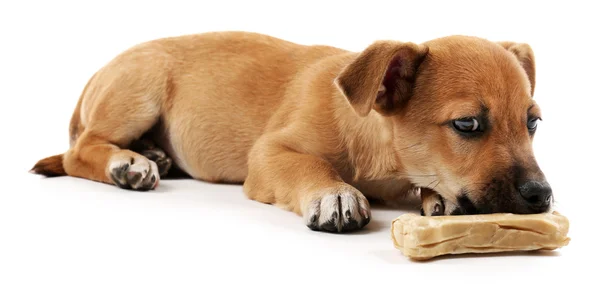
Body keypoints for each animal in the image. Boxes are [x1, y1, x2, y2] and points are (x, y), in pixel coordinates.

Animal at [30, 31, 552, 232]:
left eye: (532, 122)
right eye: (467, 125)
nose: (542, 196)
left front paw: (433, 196)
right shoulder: (270, 154)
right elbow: (309, 166)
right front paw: (334, 193)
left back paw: (154, 155)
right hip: (141, 86)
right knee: (80, 150)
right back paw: (129, 162)